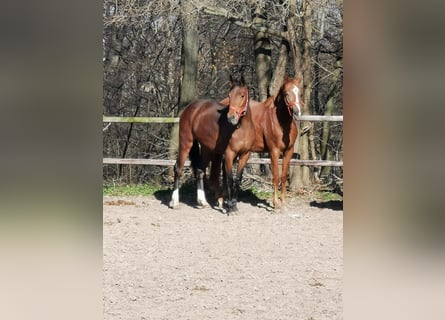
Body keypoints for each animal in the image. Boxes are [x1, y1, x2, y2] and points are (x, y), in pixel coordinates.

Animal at [169, 76, 253, 214]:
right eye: (229, 95)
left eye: (242, 95)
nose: (231, 117)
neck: (240, 129)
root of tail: (191, 107)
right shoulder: (229, 155)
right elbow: (229, 179)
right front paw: (230, 207)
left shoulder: (244, 155)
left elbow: (237, 180)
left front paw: (233, 205)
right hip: (186, 143)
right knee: (178, 169)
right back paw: (174, 202)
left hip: (207, 149)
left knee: (199, 170)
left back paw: (202, 202)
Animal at [218, 76, 302, 211]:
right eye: (286, 93)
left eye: (299, 92)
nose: (297, 111)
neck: (280, 122)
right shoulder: (274, 152)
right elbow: (276, 177)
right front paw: (276, 204)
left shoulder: (288, 152)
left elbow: (283, 177)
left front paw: (283, 203)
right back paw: (221, 200)